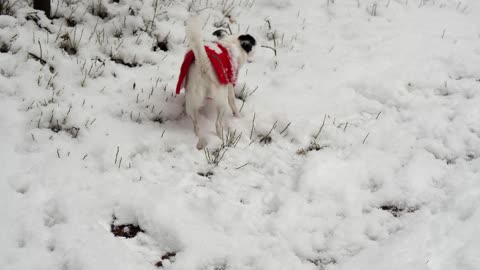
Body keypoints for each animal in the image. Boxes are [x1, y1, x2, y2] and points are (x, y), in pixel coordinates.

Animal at [176, 16, 256, 150]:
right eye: (250, 46)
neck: (229, 44)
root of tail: (203, 65)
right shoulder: (230, 86)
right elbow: (233, 104)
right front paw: (238, 117)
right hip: (221, 101)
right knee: (218, 124)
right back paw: (221, 139)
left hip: (192, 101)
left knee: (197, 126)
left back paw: (198, 141)